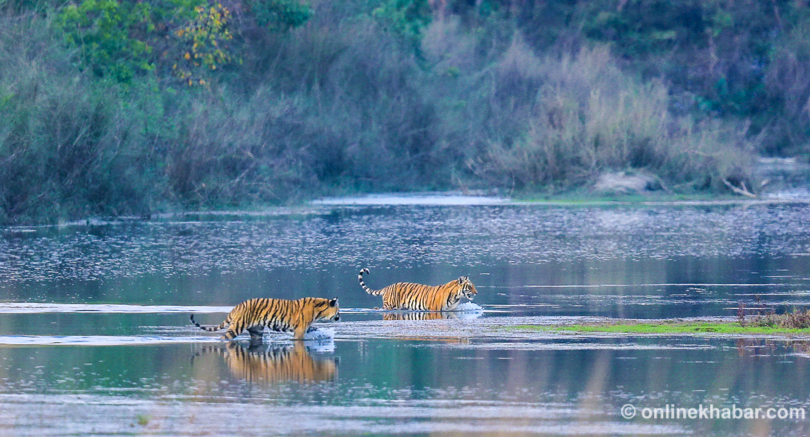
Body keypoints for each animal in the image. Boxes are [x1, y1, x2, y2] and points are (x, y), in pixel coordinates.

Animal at [189, 296, 338, 340]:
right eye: (338, 311)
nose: (340, 317)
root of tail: (237, 307)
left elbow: (313, 329)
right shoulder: (300, 329)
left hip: (257, 330)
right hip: (236, 327)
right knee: (224, 338)